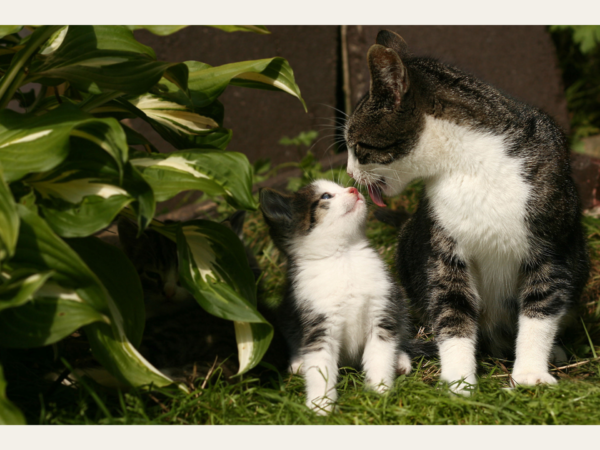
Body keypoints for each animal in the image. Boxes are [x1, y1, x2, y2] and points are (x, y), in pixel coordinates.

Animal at [260, 179, 414, 414]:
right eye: (325, 196)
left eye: (342, 188)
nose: (353, 189)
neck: (344, 256)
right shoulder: (318, 322)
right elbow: (319, 364)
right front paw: (321, 405)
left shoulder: (382, 306)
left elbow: (380, 351)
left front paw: (380, 391)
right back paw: (298, 362)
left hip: (400, 299)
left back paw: (401, 359)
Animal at [344, 29, 588, 392]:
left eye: (356, 145)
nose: (348, 173)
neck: (469, 165)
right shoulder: (444, 247)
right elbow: (452, 307)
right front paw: (458, 382)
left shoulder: (551, 245)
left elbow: (541, 305)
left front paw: (530, 374)